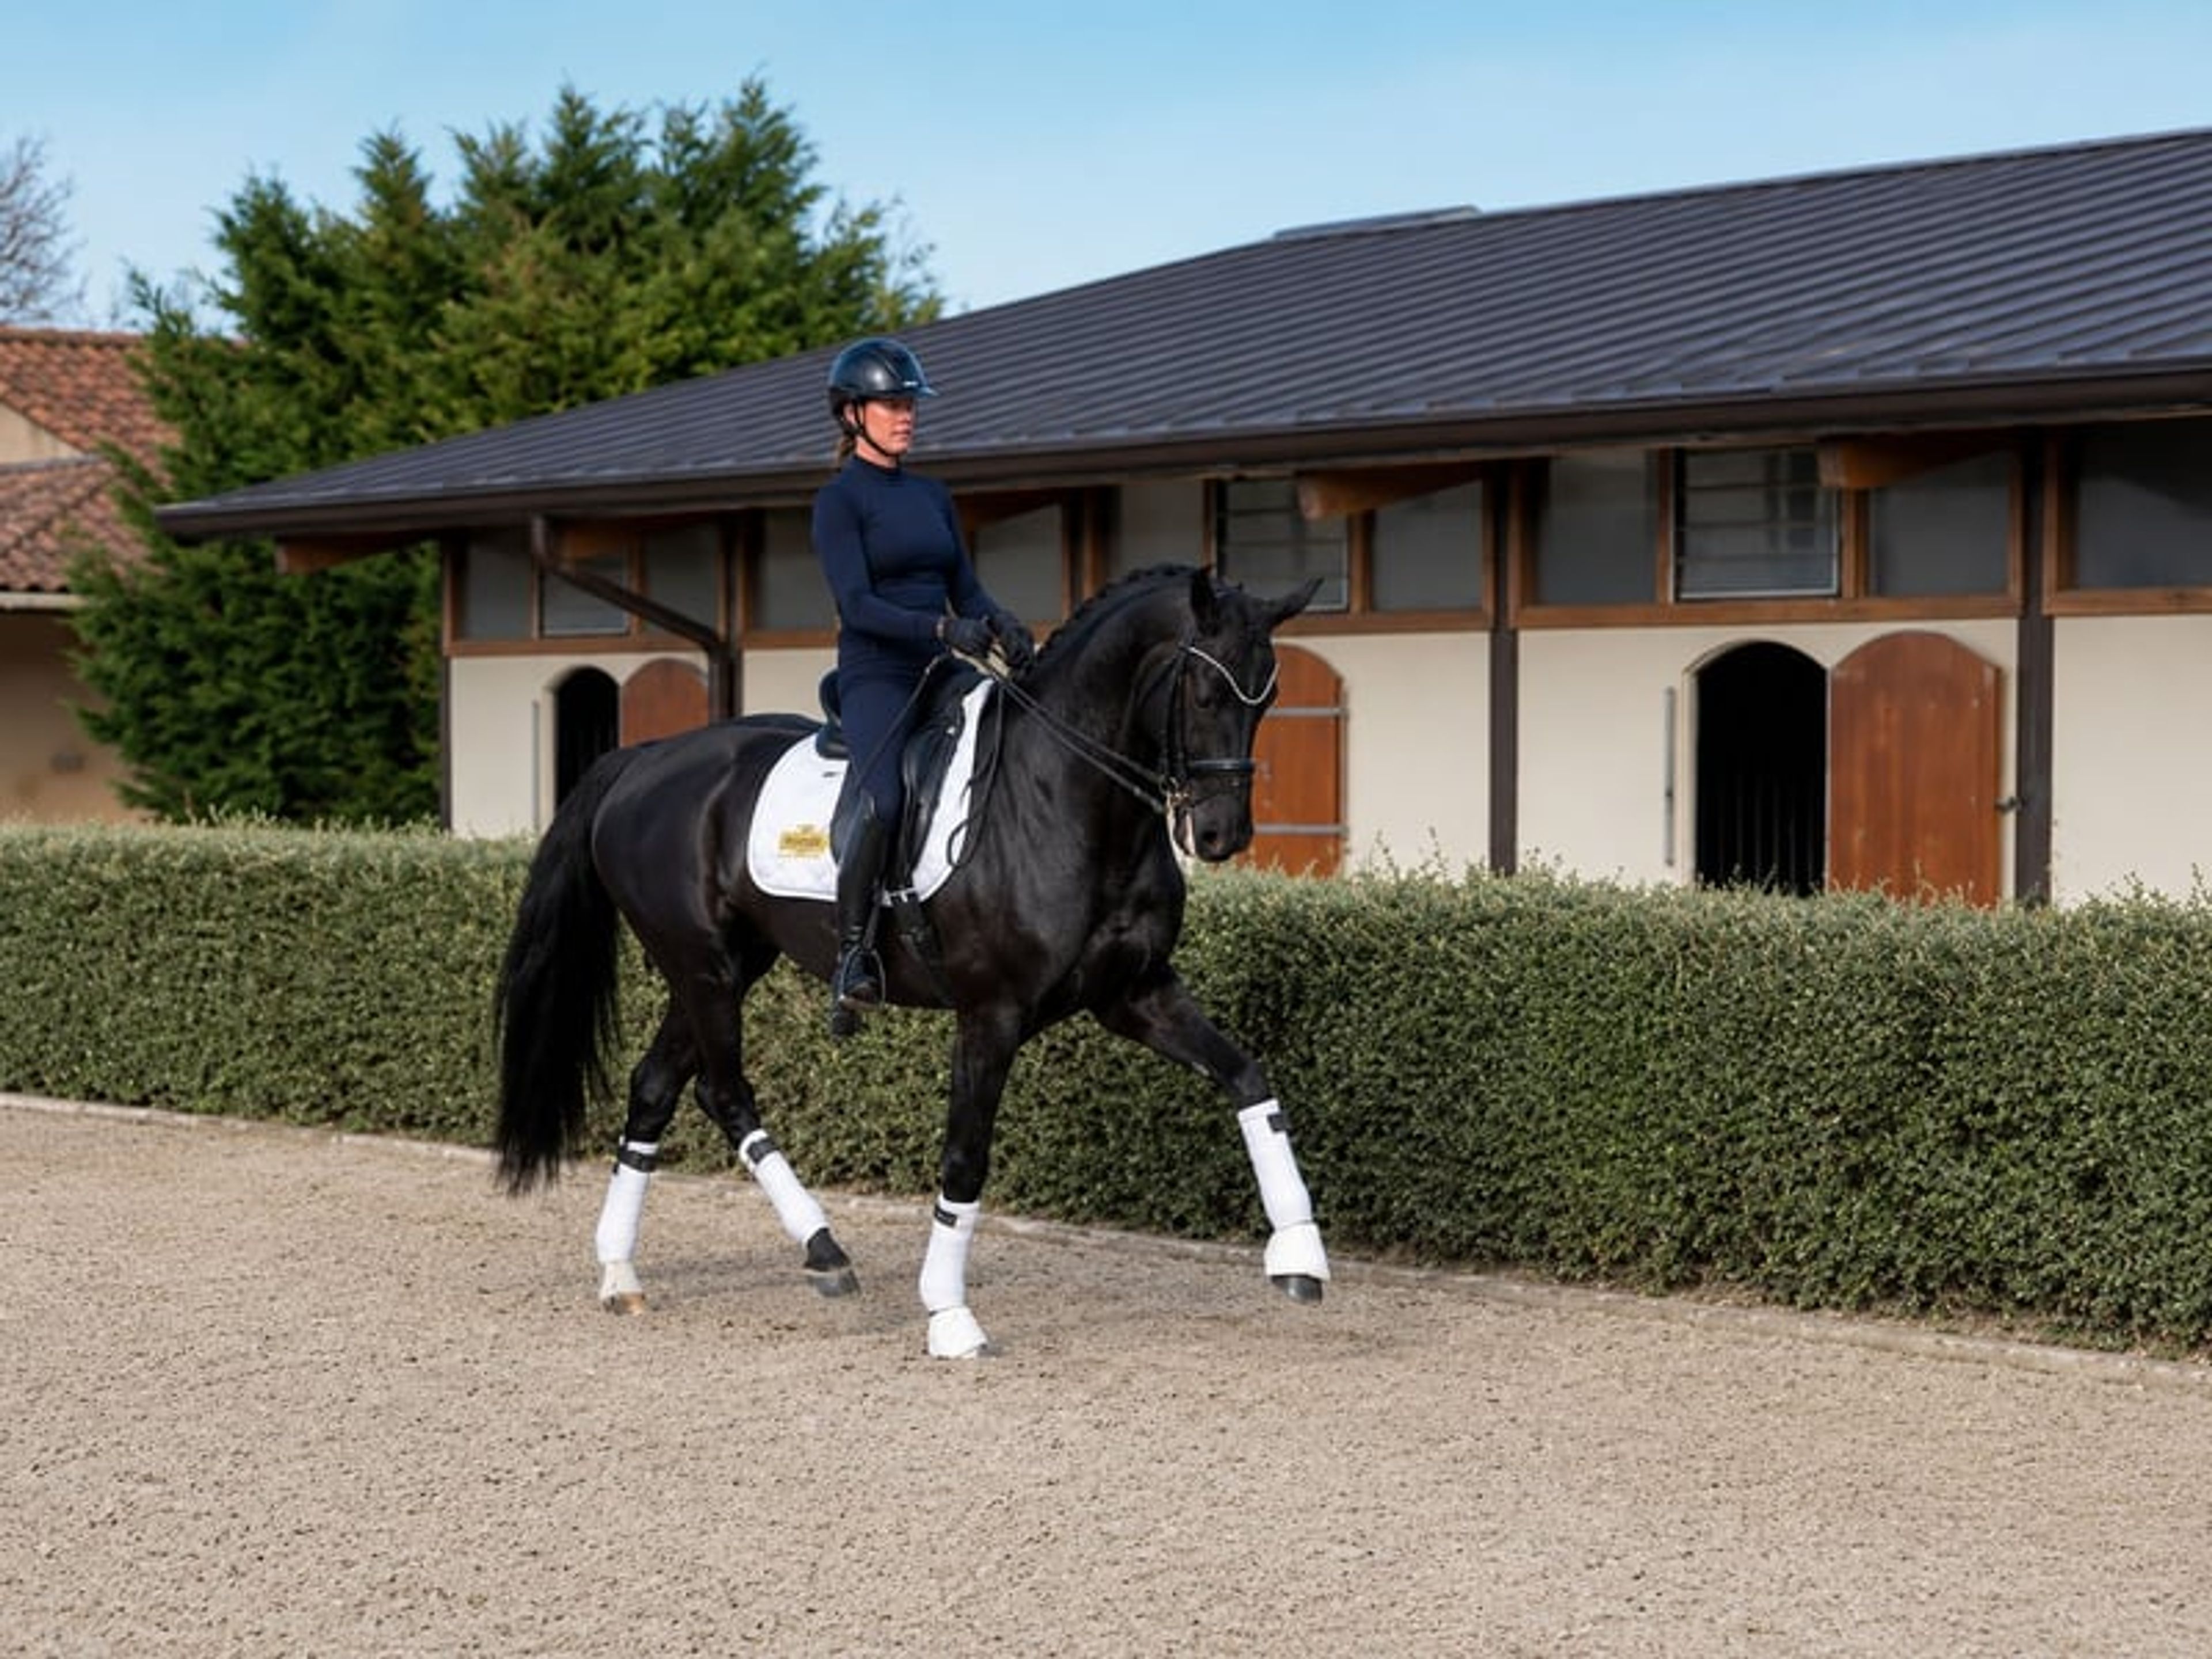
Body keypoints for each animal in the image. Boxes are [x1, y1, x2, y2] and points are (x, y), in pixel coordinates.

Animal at [492, 563, 1328, 1358]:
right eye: (1203, 690)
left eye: (1269, 696)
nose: (1221, 835)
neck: (1069, 798)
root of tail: (641, 761)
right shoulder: (992, 1015)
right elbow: (965, 1158)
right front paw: (950, 1316)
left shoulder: (1136, 992)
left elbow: (1249, 1079)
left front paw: (1300, 1256)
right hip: (706, 969)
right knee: (724, 1093)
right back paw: (825, 1252)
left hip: (721, 967)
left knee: (655, 1088)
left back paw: (621, 1273)